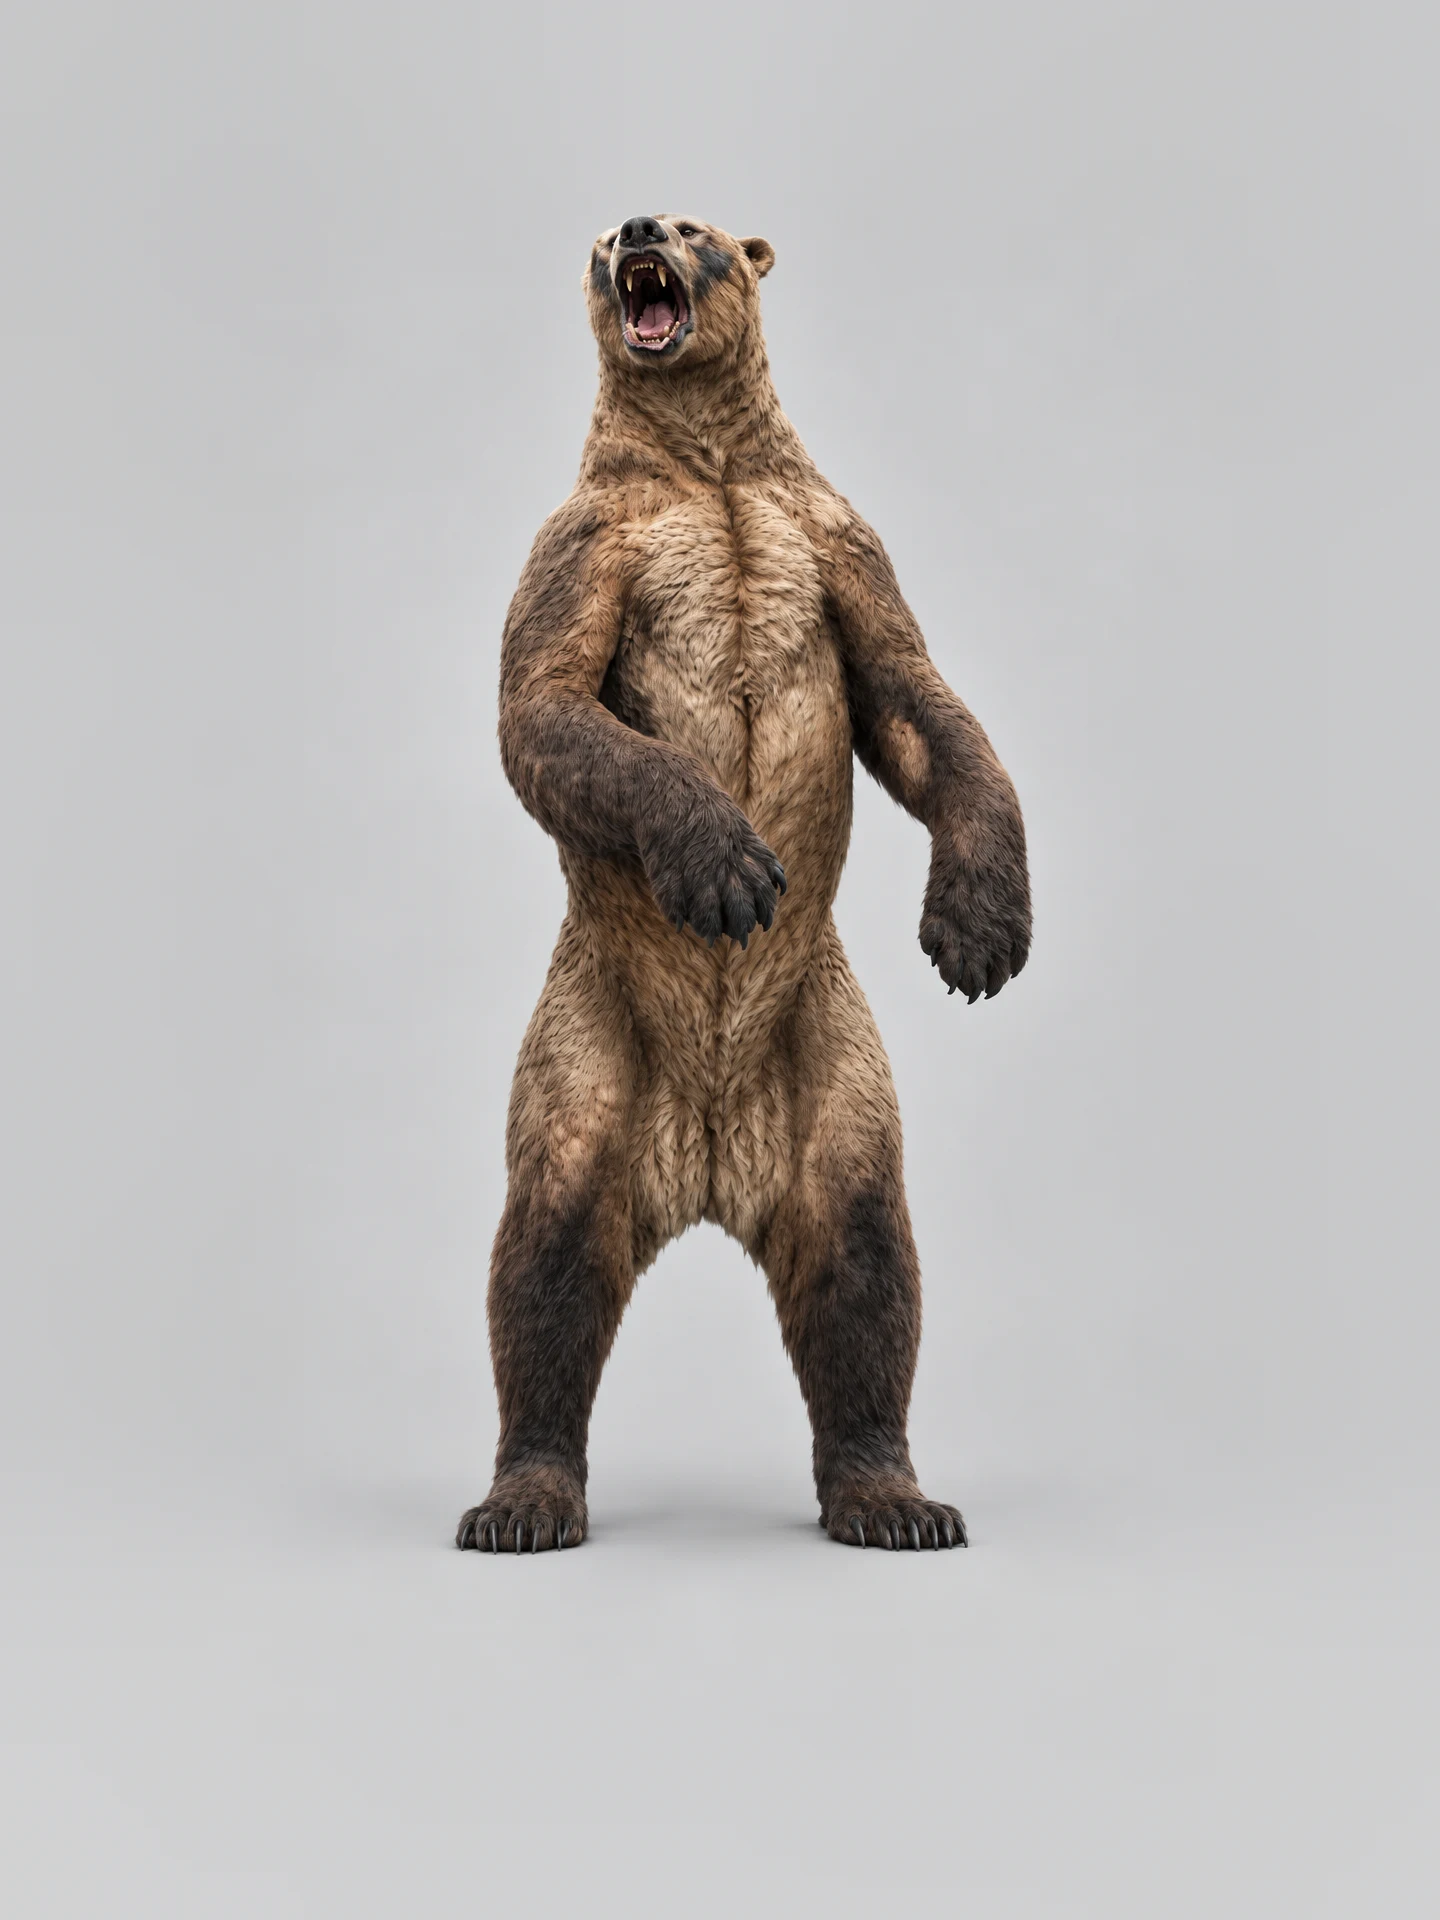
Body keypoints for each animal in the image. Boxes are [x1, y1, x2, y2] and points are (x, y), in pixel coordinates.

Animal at [456, 213, 1031, 1554]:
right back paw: (523, 1498)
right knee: (546, 1250)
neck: (707, 471)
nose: (636, 232)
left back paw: (895, 1497)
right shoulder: (585, 548)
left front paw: (979, 929)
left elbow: (917, 702)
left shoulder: (834, 541)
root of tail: (710, 1164)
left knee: (863, 1258)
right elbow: (547, 704)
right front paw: (725, 863)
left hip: (831, 1068)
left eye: (697, 230)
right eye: (609, 233)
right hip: (592, 1045)